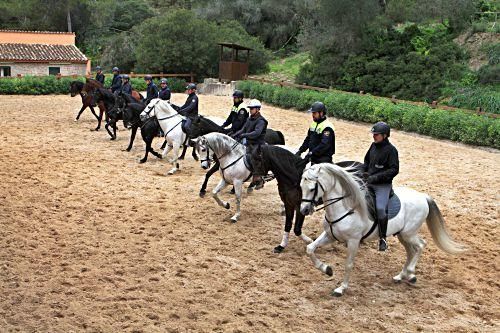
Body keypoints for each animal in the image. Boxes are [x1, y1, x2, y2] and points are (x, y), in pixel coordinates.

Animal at [298, 163, 466, 296]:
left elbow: (348, 264)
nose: (304, 210)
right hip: (402, 235)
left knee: (420, 245)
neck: (345, 207)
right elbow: (310, 249)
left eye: (312, 188)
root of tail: (423, 197)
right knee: (410, 251)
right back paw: (401, 276)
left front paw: (341, 288)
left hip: (409, 233)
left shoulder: (353, 241)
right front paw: (327, 269)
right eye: (301, 186)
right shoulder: (330, 235)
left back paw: (411, 273)